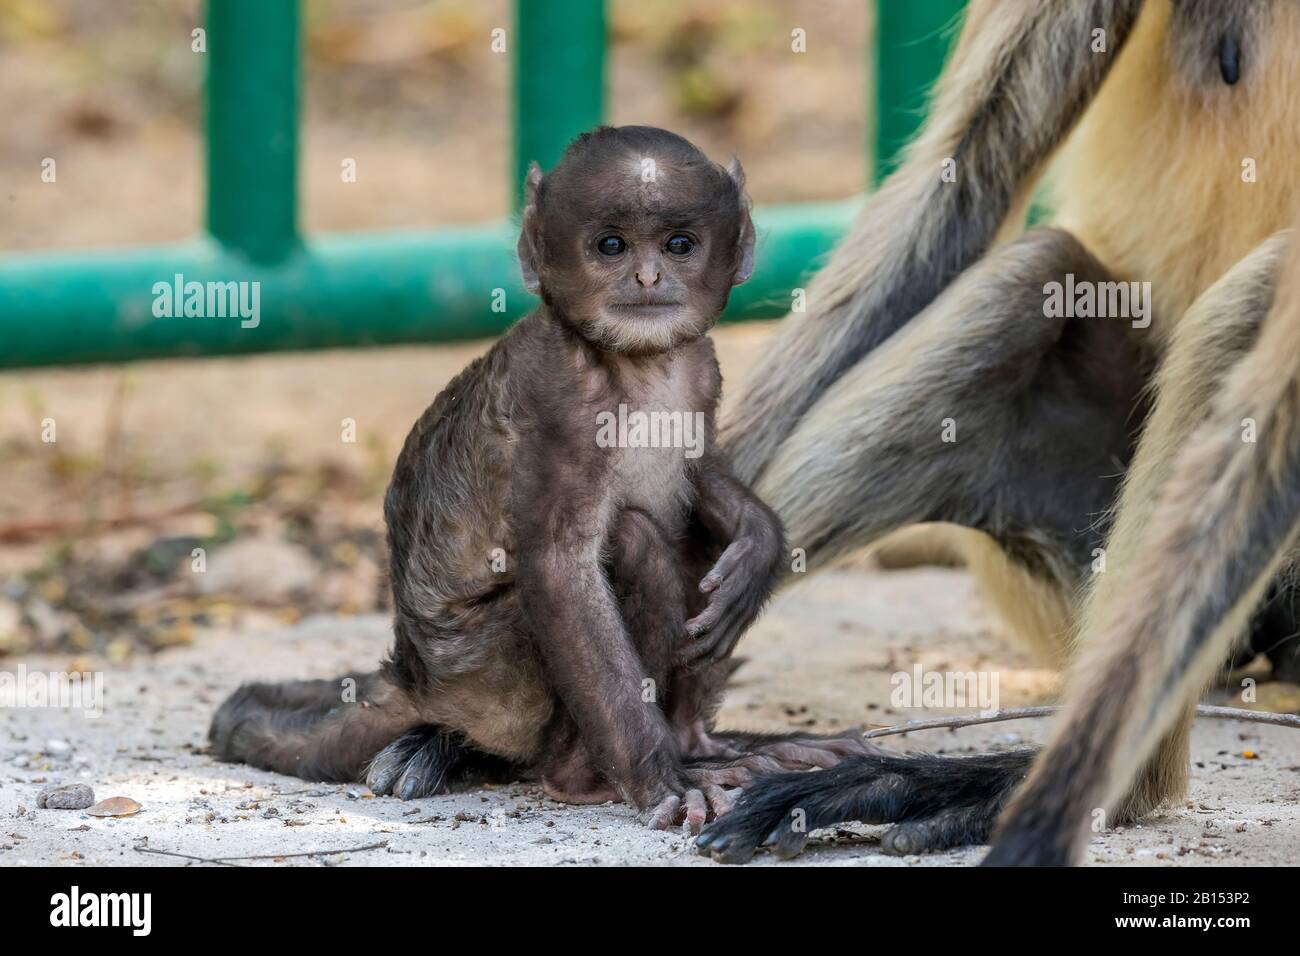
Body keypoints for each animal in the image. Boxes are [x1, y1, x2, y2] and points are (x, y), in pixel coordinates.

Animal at [209, 125, 870, 833]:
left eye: (678, 244)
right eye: (611, 245)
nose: (647, 276)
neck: (638, 366)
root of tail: (416, 678)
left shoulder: (701, 370)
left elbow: (702, 473)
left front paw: (759, 544)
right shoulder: (560, 400)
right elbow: (559, 567)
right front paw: (662, 780)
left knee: (686, 535)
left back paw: (704, 744)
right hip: (490, 678)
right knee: (636, 542)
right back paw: (589, 776)